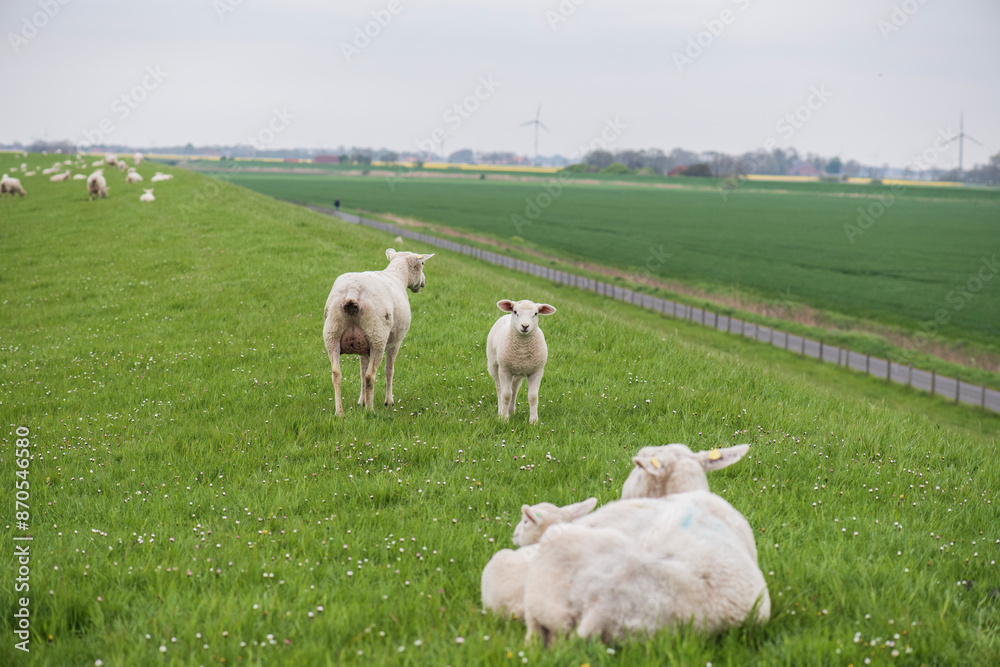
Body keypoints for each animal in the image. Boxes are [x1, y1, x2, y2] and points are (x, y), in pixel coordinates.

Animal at [322, 248, 434, 416]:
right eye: (423, 264)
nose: (423, 283)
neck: (397, 276)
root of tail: (353, 290)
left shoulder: (361, 347)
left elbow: (361, 372)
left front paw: (361, 402)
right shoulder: (397, 341)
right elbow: (389, 370)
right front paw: (388, 402)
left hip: (332, 333)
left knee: (336, 374)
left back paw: (339, 412)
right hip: (377, 337)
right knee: (370, 376)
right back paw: (370, 410)